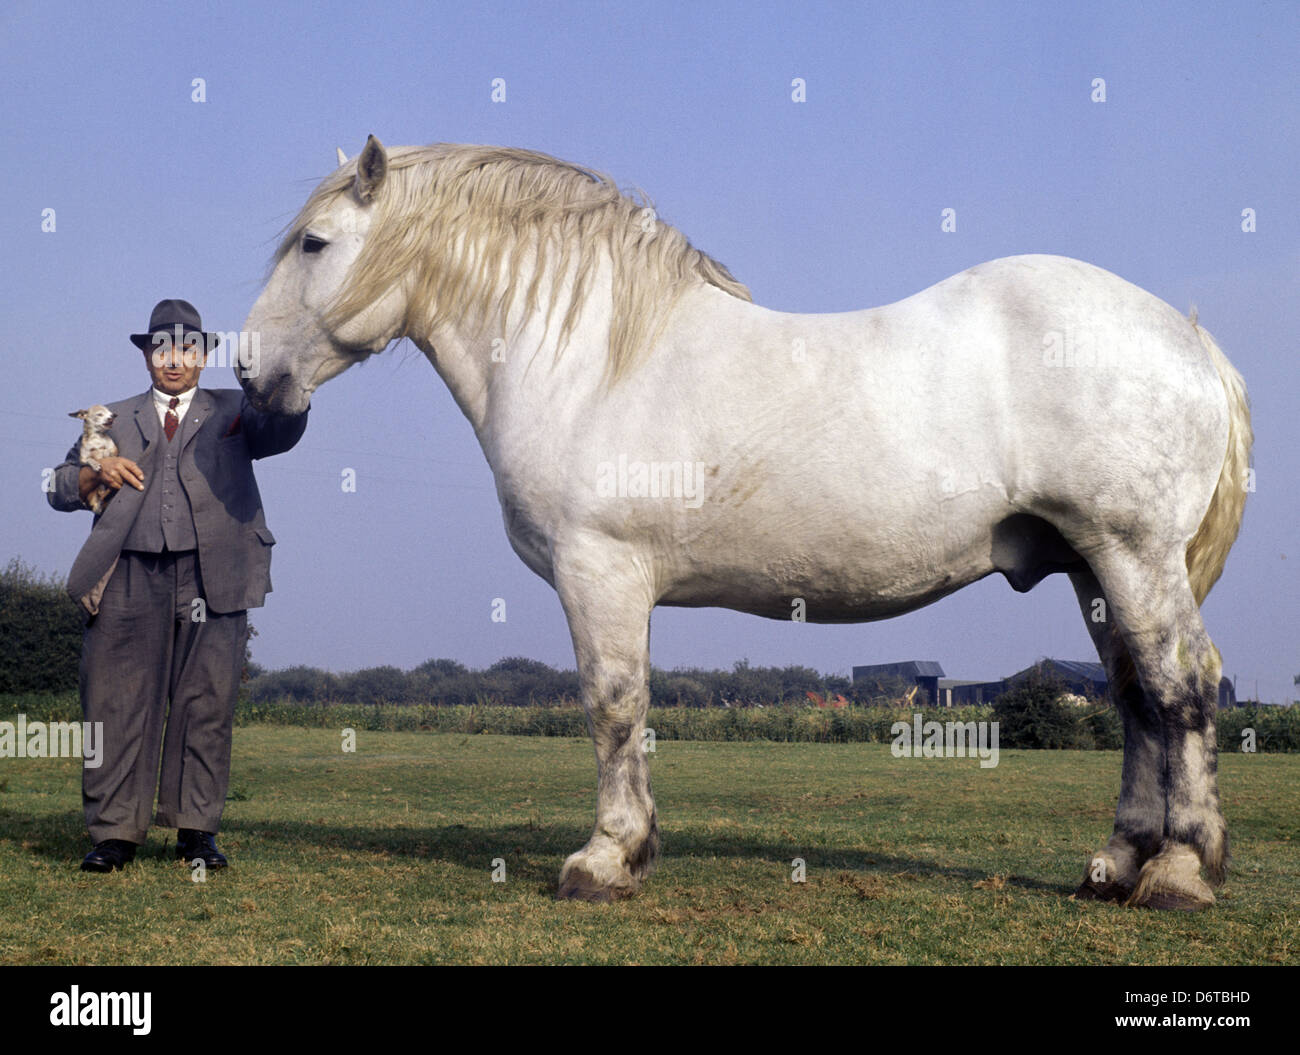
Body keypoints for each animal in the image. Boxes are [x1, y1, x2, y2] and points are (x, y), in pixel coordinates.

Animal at [241, 135, 1248, 909]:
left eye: (314, 243)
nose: (250, 372)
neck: (591, 360)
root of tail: (1191, 339)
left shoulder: (598, 571)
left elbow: (612, 705)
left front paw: (603, 858)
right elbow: (632, 711)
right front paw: (635, 850)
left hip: (1133, 554)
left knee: (1183, 688)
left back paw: (1179, 872)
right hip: (1091, 567)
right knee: (1135, 697)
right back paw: (1116, 863)